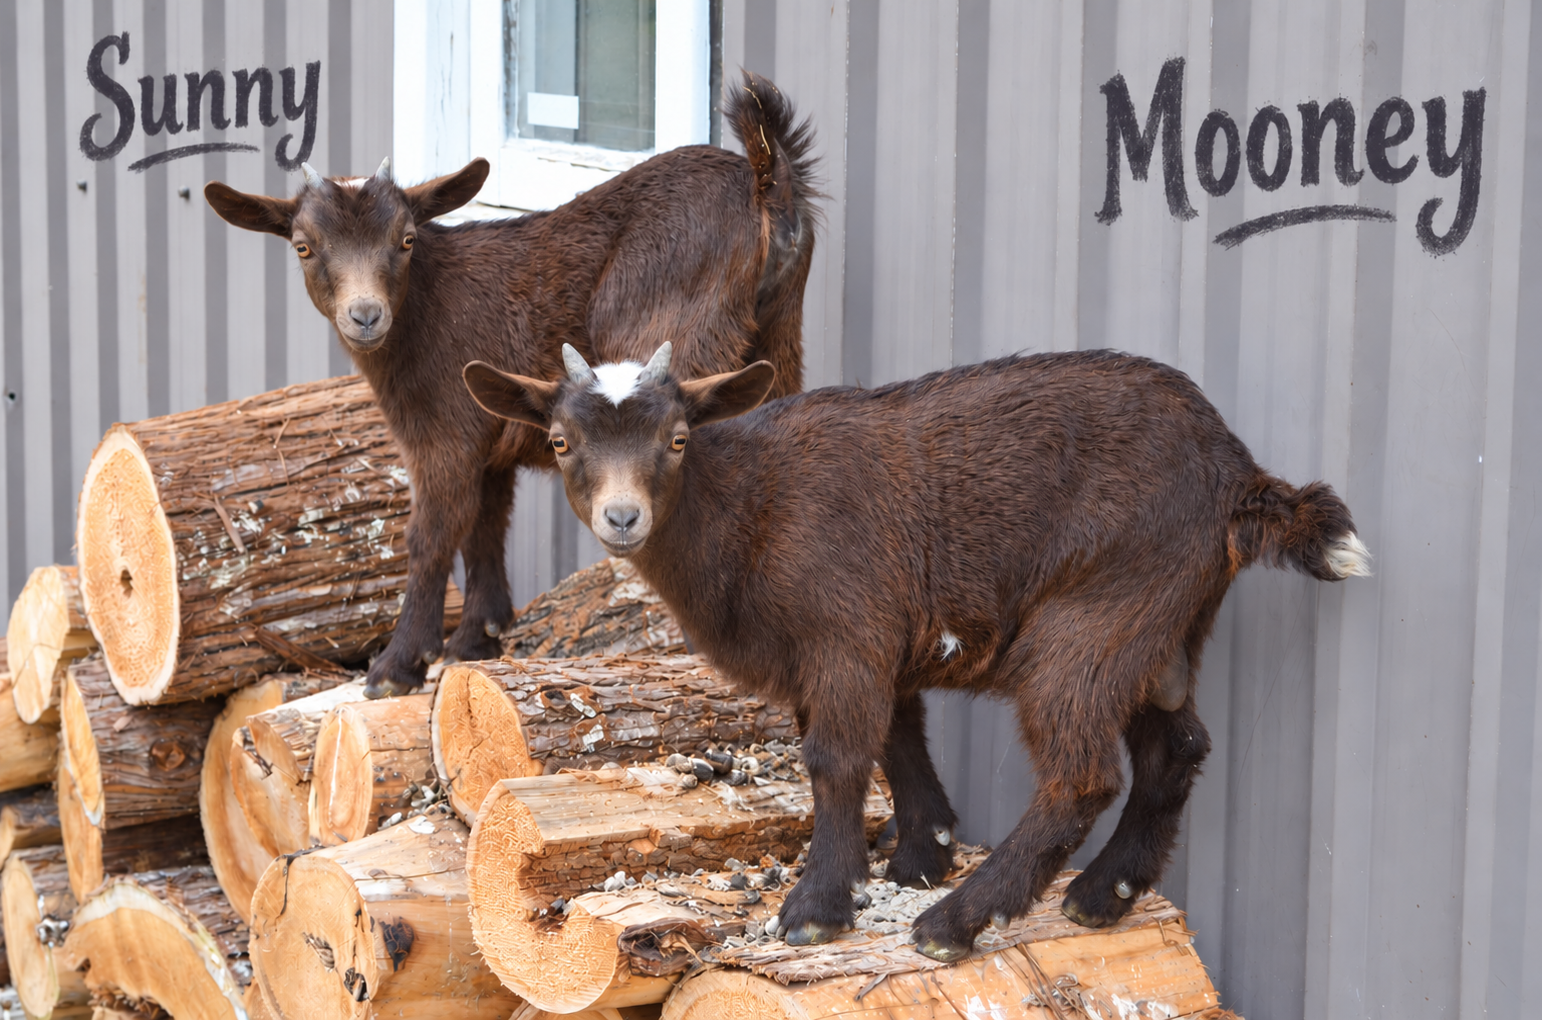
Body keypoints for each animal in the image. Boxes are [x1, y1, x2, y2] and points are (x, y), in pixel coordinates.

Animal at [203, 73, 818, 697]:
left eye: (406, 239)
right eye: (304, 246)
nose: (366, 315)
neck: (427, 308)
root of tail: (766, 188)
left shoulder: (445, 431)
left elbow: (432, 532)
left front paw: (398, 666)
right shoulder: (491, 435)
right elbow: (486, 523)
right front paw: (480, 637)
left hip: (681, 344)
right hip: (780, 340)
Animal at [462, 343, 1372, 961]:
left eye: (680, 437)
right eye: (559, 440)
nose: (623, 518)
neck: (749, 506)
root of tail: (1238, 475)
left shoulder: (844, 633)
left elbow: (836, 759)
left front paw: (819, 909)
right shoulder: (872, 644)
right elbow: (897, 739)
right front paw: (920, 853)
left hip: (1094, 619)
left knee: (1083, 774)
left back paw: (958, 922)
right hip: (1157, 628)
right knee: (1176, 748)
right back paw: (1099, 896)